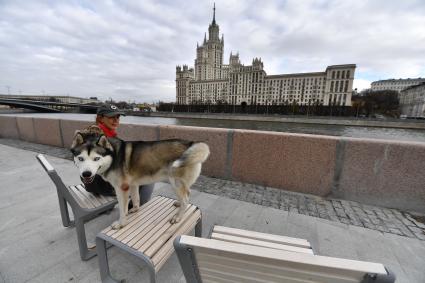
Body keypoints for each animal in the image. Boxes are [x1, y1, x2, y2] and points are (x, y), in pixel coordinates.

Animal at [71, 131, 210, 231]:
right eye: (81, 158)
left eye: (96, 158)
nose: (86, 174)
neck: (114, 155)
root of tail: (191, 143)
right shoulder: (132, 184)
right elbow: (136, 199)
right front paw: (135, 210)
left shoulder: (121, 188)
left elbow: (122, 210)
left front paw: (121, 224)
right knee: (187, 194)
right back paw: (179, 204)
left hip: (175, 182)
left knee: (186, 199)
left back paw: (178, 217)